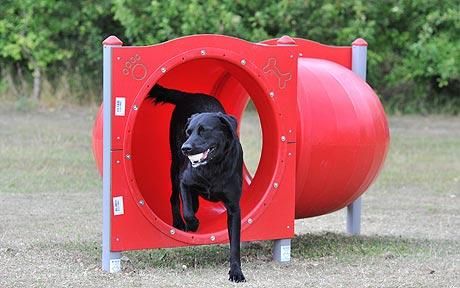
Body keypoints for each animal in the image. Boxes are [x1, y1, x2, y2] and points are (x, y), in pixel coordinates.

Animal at [148, 84, 246, 282]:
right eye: (189, 132)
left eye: (204, 130)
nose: (186, 148)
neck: (213, 166)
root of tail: (189, 95)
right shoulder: (185, 181)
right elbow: (188, 210)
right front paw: (192, 225)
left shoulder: (234, 208)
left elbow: (235, 244)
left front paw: (236, 271)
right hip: (174, 166)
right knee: (174, 198)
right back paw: (179, 222)